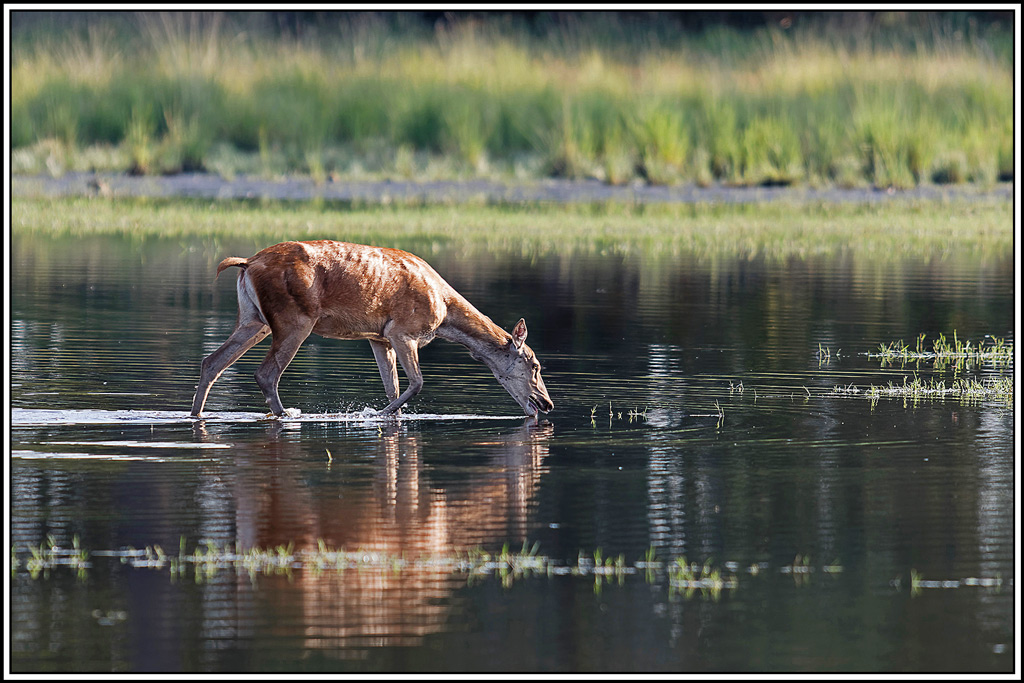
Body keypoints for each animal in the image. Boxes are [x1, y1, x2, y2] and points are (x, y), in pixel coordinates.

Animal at [190, 240, 554, 420]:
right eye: (535, 365)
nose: (547, 404)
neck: (445, 311)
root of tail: (246, 263)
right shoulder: (403, 331)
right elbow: (416, 384)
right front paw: (374, 413)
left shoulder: (379, 338)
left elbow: (394, 388)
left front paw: (390, 414)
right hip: (294, 318)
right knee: (265, 373)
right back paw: (287, 414)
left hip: (254, 319)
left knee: (212, 361)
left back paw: (196, 414)